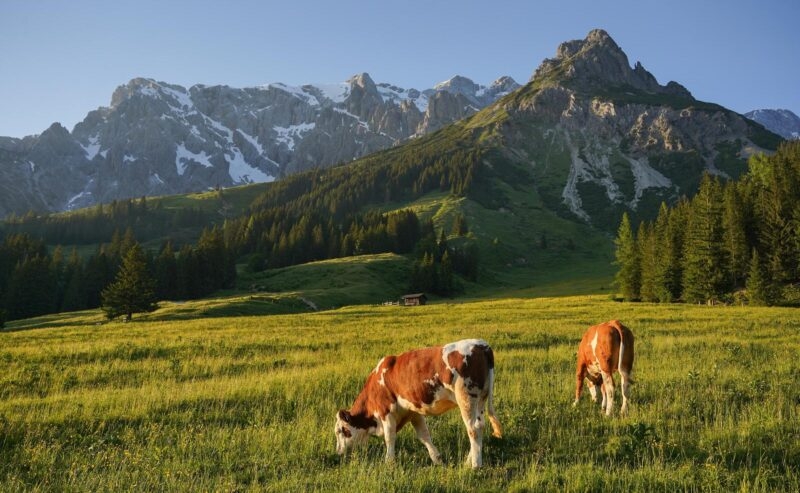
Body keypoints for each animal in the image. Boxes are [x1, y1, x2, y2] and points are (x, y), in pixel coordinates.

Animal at [335, 339, 502, 468]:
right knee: (480, 425)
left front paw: (389, 462)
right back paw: (469, 460)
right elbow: (424, 436)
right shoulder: (413, 412)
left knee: (473, 429)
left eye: (341, 431)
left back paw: (475, 465)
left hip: (466, 398)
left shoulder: (386, 412)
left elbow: (389, 437)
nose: (338, 453)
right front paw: (437, 459)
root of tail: (481, 345)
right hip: (480, 400)